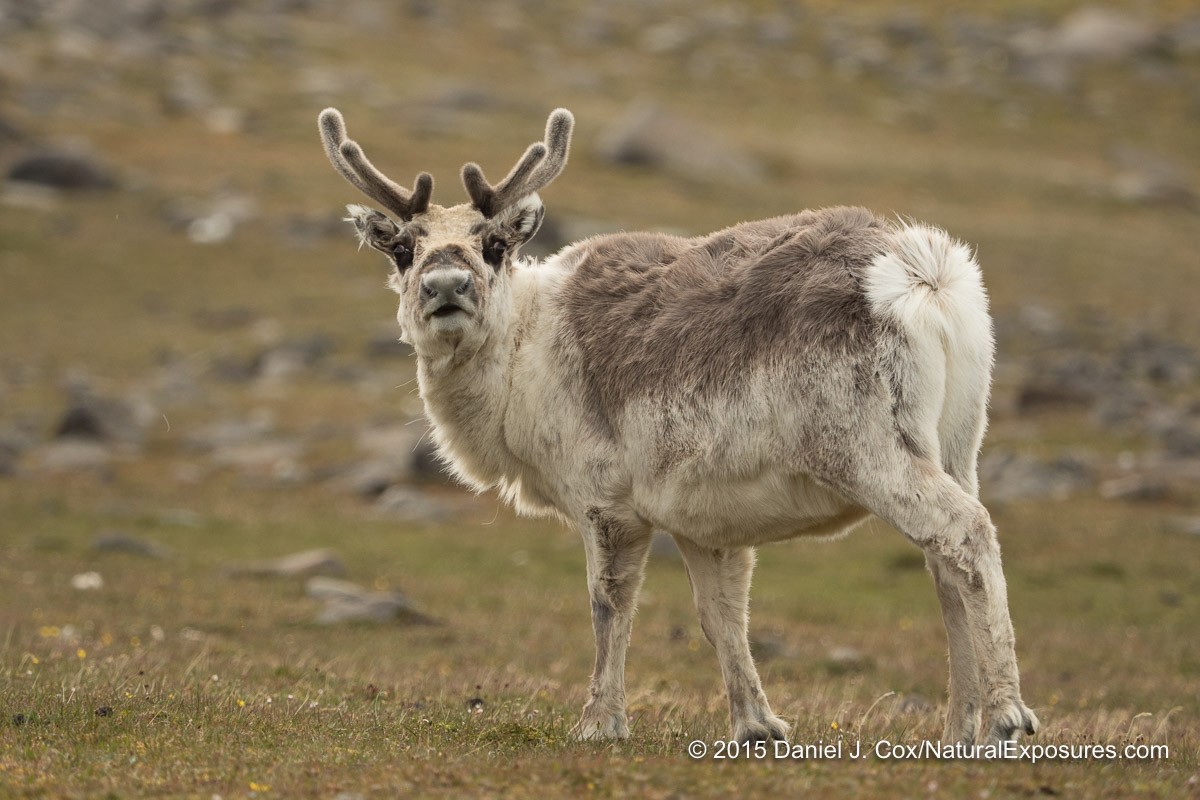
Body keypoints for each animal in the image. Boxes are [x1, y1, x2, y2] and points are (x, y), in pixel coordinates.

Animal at [317, 106, 1039, 747]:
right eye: (402, 249)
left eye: (494, 245)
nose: (446, 286)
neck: (520, 354)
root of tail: (925, 276)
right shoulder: (702, 522)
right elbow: (721, 617)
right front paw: (756, 725)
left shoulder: (607, 503)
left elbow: (609, 605)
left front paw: (599, 723)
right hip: (957, 444)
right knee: (945, 565)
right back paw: (959, 730)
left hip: (873, 451)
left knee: (966, 532)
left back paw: (1008, 716)